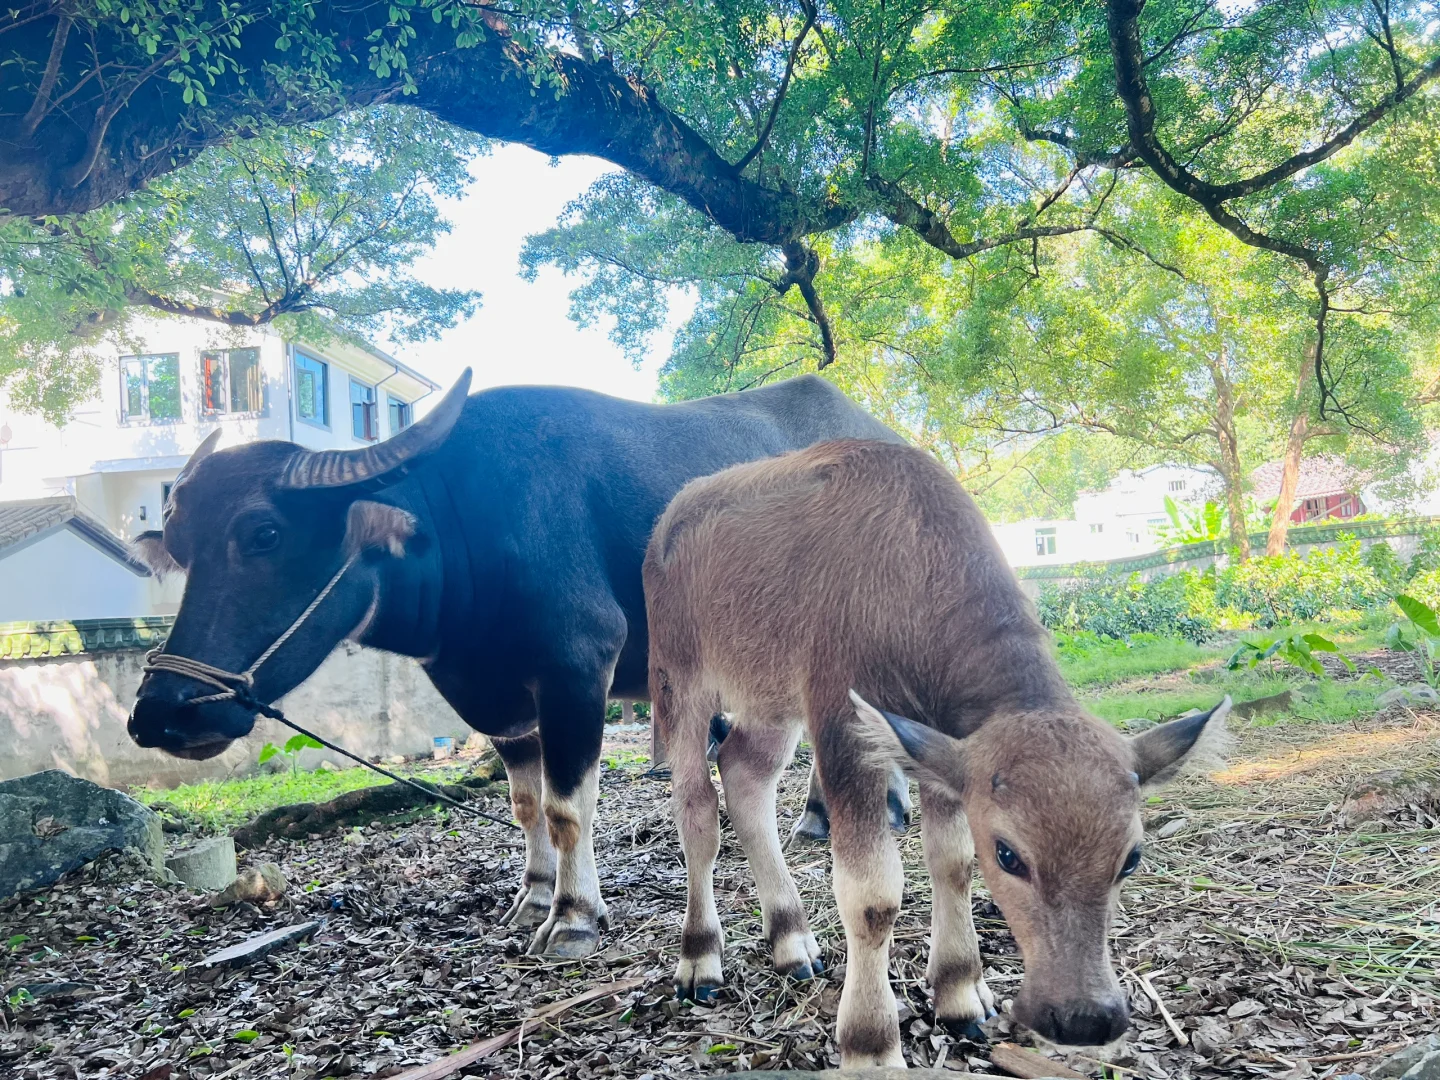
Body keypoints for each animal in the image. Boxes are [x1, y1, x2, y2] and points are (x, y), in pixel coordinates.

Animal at [129, 371, 904, 956]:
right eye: (181, 547)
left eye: (263, 532)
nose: (162, 713)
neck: (464, 525)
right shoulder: (495, 700)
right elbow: (526, 801)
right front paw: (532, 896)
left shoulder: (577, 668)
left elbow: (567, 805)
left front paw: (573, 914)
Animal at [648, 437, 1221, 1065]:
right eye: (1011, 856)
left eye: (1131, 858)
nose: (1084, 1018)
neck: (915, 577)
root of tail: (667, 522)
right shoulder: (845, 730)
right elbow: (872, 895)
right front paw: (871, 1043)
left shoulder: (941, 750)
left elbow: (952, 861)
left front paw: (960, 992)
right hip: (680, 684)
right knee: (698, 811)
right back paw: (700, 956)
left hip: (771, 700)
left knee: (745, 775)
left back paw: (791, 937)